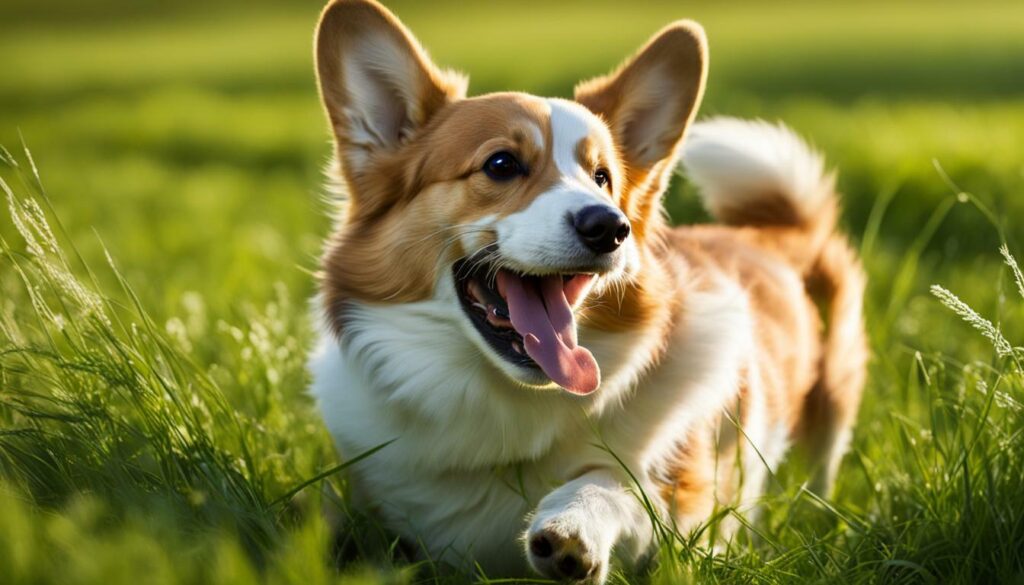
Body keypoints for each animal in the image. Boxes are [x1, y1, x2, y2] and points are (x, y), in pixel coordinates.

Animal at [305, 2, 864, 581]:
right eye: (501, 164)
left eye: (603, 178)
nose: (610, 227)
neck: (509, 408)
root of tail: (774, 231)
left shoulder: (692, 507)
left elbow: (616, 482)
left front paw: (573, 526)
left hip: (834, 406)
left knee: (820, 468)